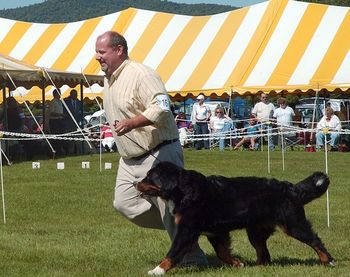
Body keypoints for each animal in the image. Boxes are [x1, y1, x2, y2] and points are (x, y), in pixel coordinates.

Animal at [135, 161, 334, 274]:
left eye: (149, 177)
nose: (136, 184)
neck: (183, 191)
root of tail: (292, 188)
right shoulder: (216, 233)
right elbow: (223, 253)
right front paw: (238, 264)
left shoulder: (187, 231)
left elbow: (172, 253)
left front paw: (157, 270)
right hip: (256, 233)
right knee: (264, 254)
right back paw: (256, 268)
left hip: (293, 224)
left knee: (315, 240)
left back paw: (329, 261)